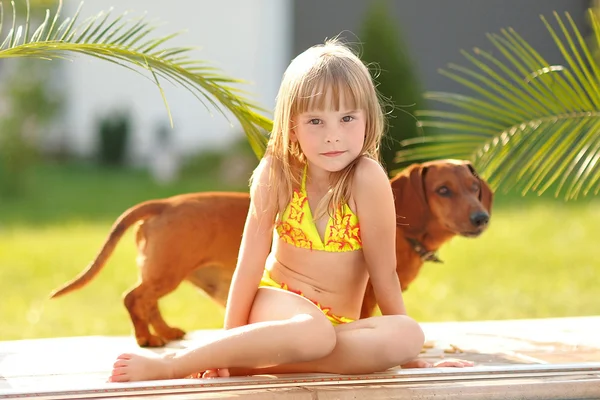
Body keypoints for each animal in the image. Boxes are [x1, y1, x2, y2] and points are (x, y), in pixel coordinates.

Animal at [50, 159, 492, 346]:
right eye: (443, 190)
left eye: (474, 188)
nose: (482, 217)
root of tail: (164, 203)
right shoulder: (368, 295)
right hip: (166, 272)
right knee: (134, 298)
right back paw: (146, 339)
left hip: (168, 275)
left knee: (147, 301)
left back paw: (166, 332)